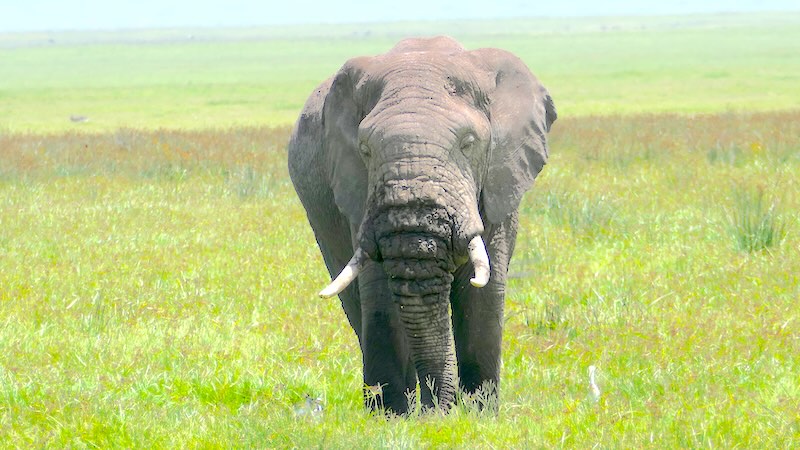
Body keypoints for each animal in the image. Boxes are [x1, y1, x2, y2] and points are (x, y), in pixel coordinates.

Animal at [288, 36, 556, 414]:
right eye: (365, 150)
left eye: (468, 143)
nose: (439, 412)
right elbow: (381, 296)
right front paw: (392, 418)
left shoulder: (498, 183)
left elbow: (485, 293)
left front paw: (479, 415)